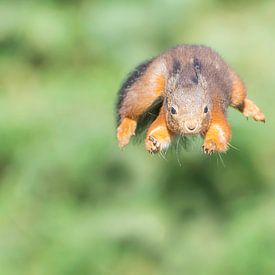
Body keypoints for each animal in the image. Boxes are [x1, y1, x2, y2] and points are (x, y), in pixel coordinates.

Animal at [116, 44, 266, 154]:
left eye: (206, 109)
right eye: (173, 110)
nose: (191, 126)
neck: (187, 82)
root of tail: (187, 46)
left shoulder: (216, 111)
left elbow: (221, 130)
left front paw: (211, 143)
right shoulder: (165, 115)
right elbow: (158, 130)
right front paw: (153, 143)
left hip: (234, 84)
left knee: (239, 100)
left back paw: (253, 110)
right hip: (150, 86)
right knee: (129, 109)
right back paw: (125, 130)